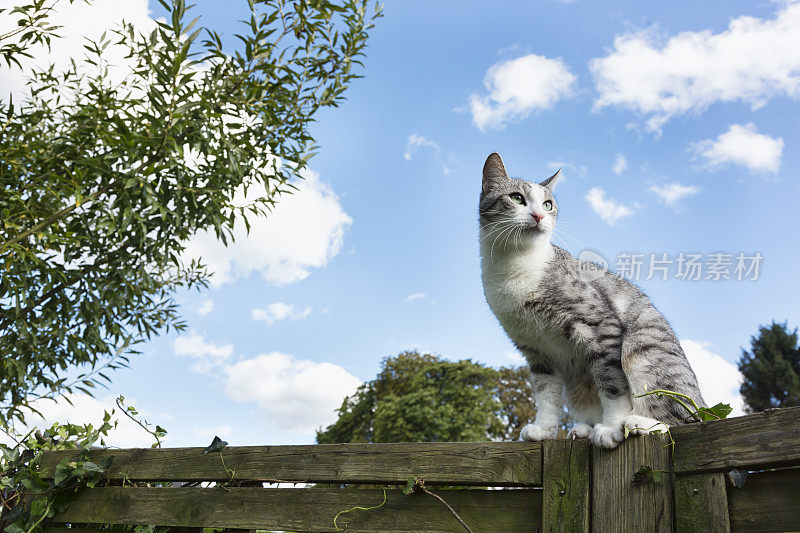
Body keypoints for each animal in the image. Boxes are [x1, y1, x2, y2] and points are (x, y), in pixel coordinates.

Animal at [478, 152, 704, 446]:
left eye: (548, 204)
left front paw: (611, 427)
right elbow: (545, 395)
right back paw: (584, 429)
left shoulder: (601, 328)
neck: (516, 263)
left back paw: (638, 423)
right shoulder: (535, 350)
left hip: (641, 348)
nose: (539, 215)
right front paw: (542, 429)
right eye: (517, 198)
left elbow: (612, 383)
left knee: (680, 418)